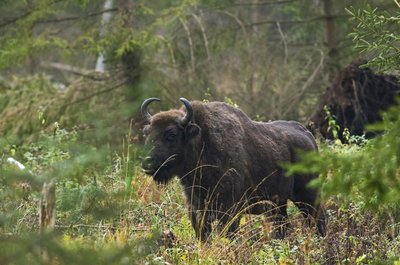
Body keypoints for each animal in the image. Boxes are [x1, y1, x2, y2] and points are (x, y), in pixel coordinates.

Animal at [140, 97, 324, 239]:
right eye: (147, 133)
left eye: (172, 134)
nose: (147, 161)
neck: (203, 142)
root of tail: (308, 136)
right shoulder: (197, 210)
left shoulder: (230, 210)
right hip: (280, 204)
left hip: (307, 196)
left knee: (318, 218)